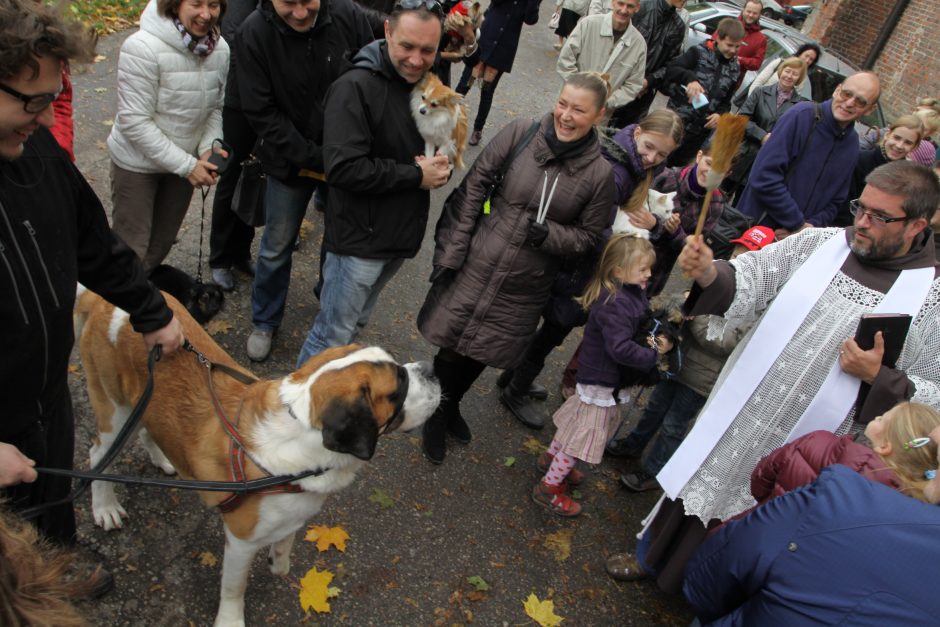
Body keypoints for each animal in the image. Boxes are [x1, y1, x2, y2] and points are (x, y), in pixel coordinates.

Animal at [73, 288, 440, 624]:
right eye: (399, 386)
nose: (431, 369)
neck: (303, 434)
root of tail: (103, 301)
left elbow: (286, 538)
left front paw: (280, 561)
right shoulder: (241, 540)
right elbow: (234, 587)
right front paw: (230, 619)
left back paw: (162, 458)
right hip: (114, 409)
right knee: (97, 454)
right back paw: (105, 507)